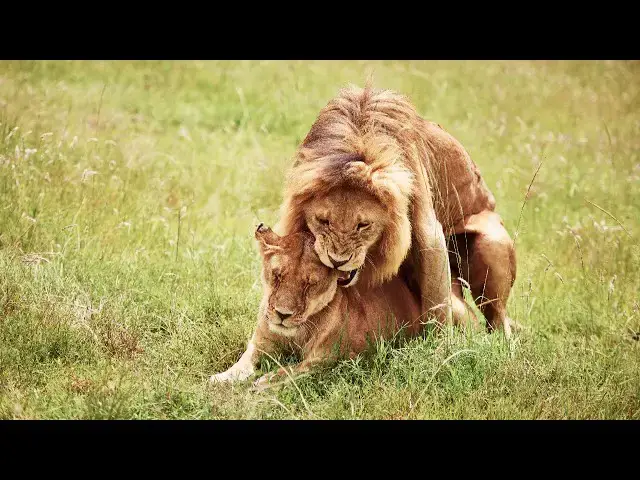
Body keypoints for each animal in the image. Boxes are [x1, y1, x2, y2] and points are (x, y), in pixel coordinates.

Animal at [209, 224, 477, 388]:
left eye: (311, 284)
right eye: (277, 275)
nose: (282, 315)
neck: (297, 332)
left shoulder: (331, 359)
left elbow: (293, 371)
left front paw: (265, 380)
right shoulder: (260, 344)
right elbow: (242, 363)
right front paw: (221, 377)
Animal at [275, 84, 517, 336]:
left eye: (363, 225)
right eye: (323, 221)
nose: (337, 261)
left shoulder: (429, 231)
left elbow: (437, 302)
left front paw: (437, 345)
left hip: (492, 244)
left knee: (495, 317)